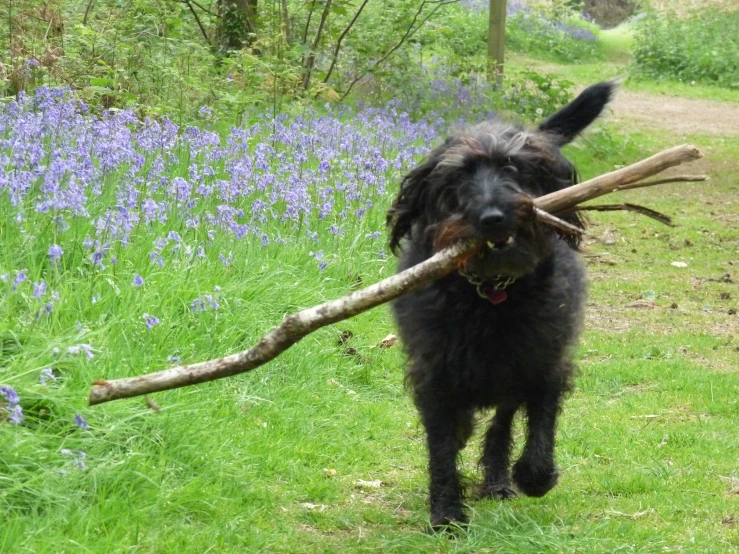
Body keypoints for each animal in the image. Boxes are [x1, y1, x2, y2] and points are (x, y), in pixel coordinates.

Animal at [388, 81, 612, 528]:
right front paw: (446, 510)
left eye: (512, 167)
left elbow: (539, 425)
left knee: (502, 424)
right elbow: (443, 443)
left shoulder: (545, 362)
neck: (491, 293)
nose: (492, 217)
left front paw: (533, 476)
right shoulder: (435, 374)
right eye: (459, 176)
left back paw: (498, 480)